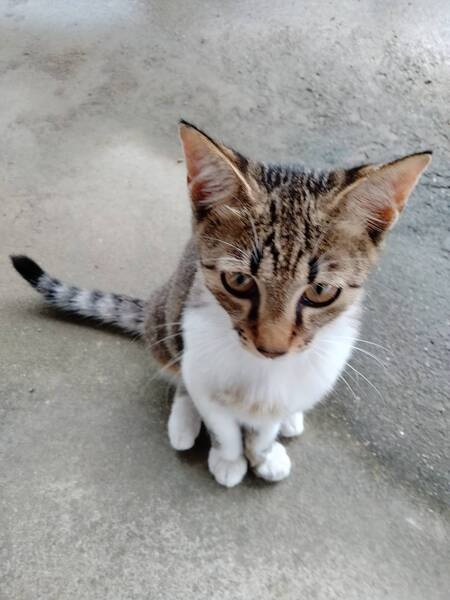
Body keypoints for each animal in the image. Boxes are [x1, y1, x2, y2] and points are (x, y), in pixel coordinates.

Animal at [11, 121, 431, 487]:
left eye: (321, 291)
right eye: (239, 281)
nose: (272, 348)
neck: (261, 374)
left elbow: (264, 428)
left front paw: (263, 453)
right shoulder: (199, 362)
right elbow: (221, 423)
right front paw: (229, 459)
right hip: (166, 318)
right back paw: (183, 423)